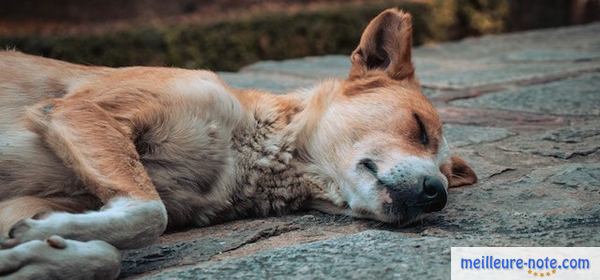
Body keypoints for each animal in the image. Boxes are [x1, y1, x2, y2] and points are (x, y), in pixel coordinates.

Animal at [1, 9, 478, 278]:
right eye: (419, 127)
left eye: (446, 179)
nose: (436, 194)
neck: (244, 156)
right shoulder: (80, 110)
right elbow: (149, 214)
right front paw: (43, 239)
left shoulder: (26, 202)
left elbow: (106, 254)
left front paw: (31, 256)